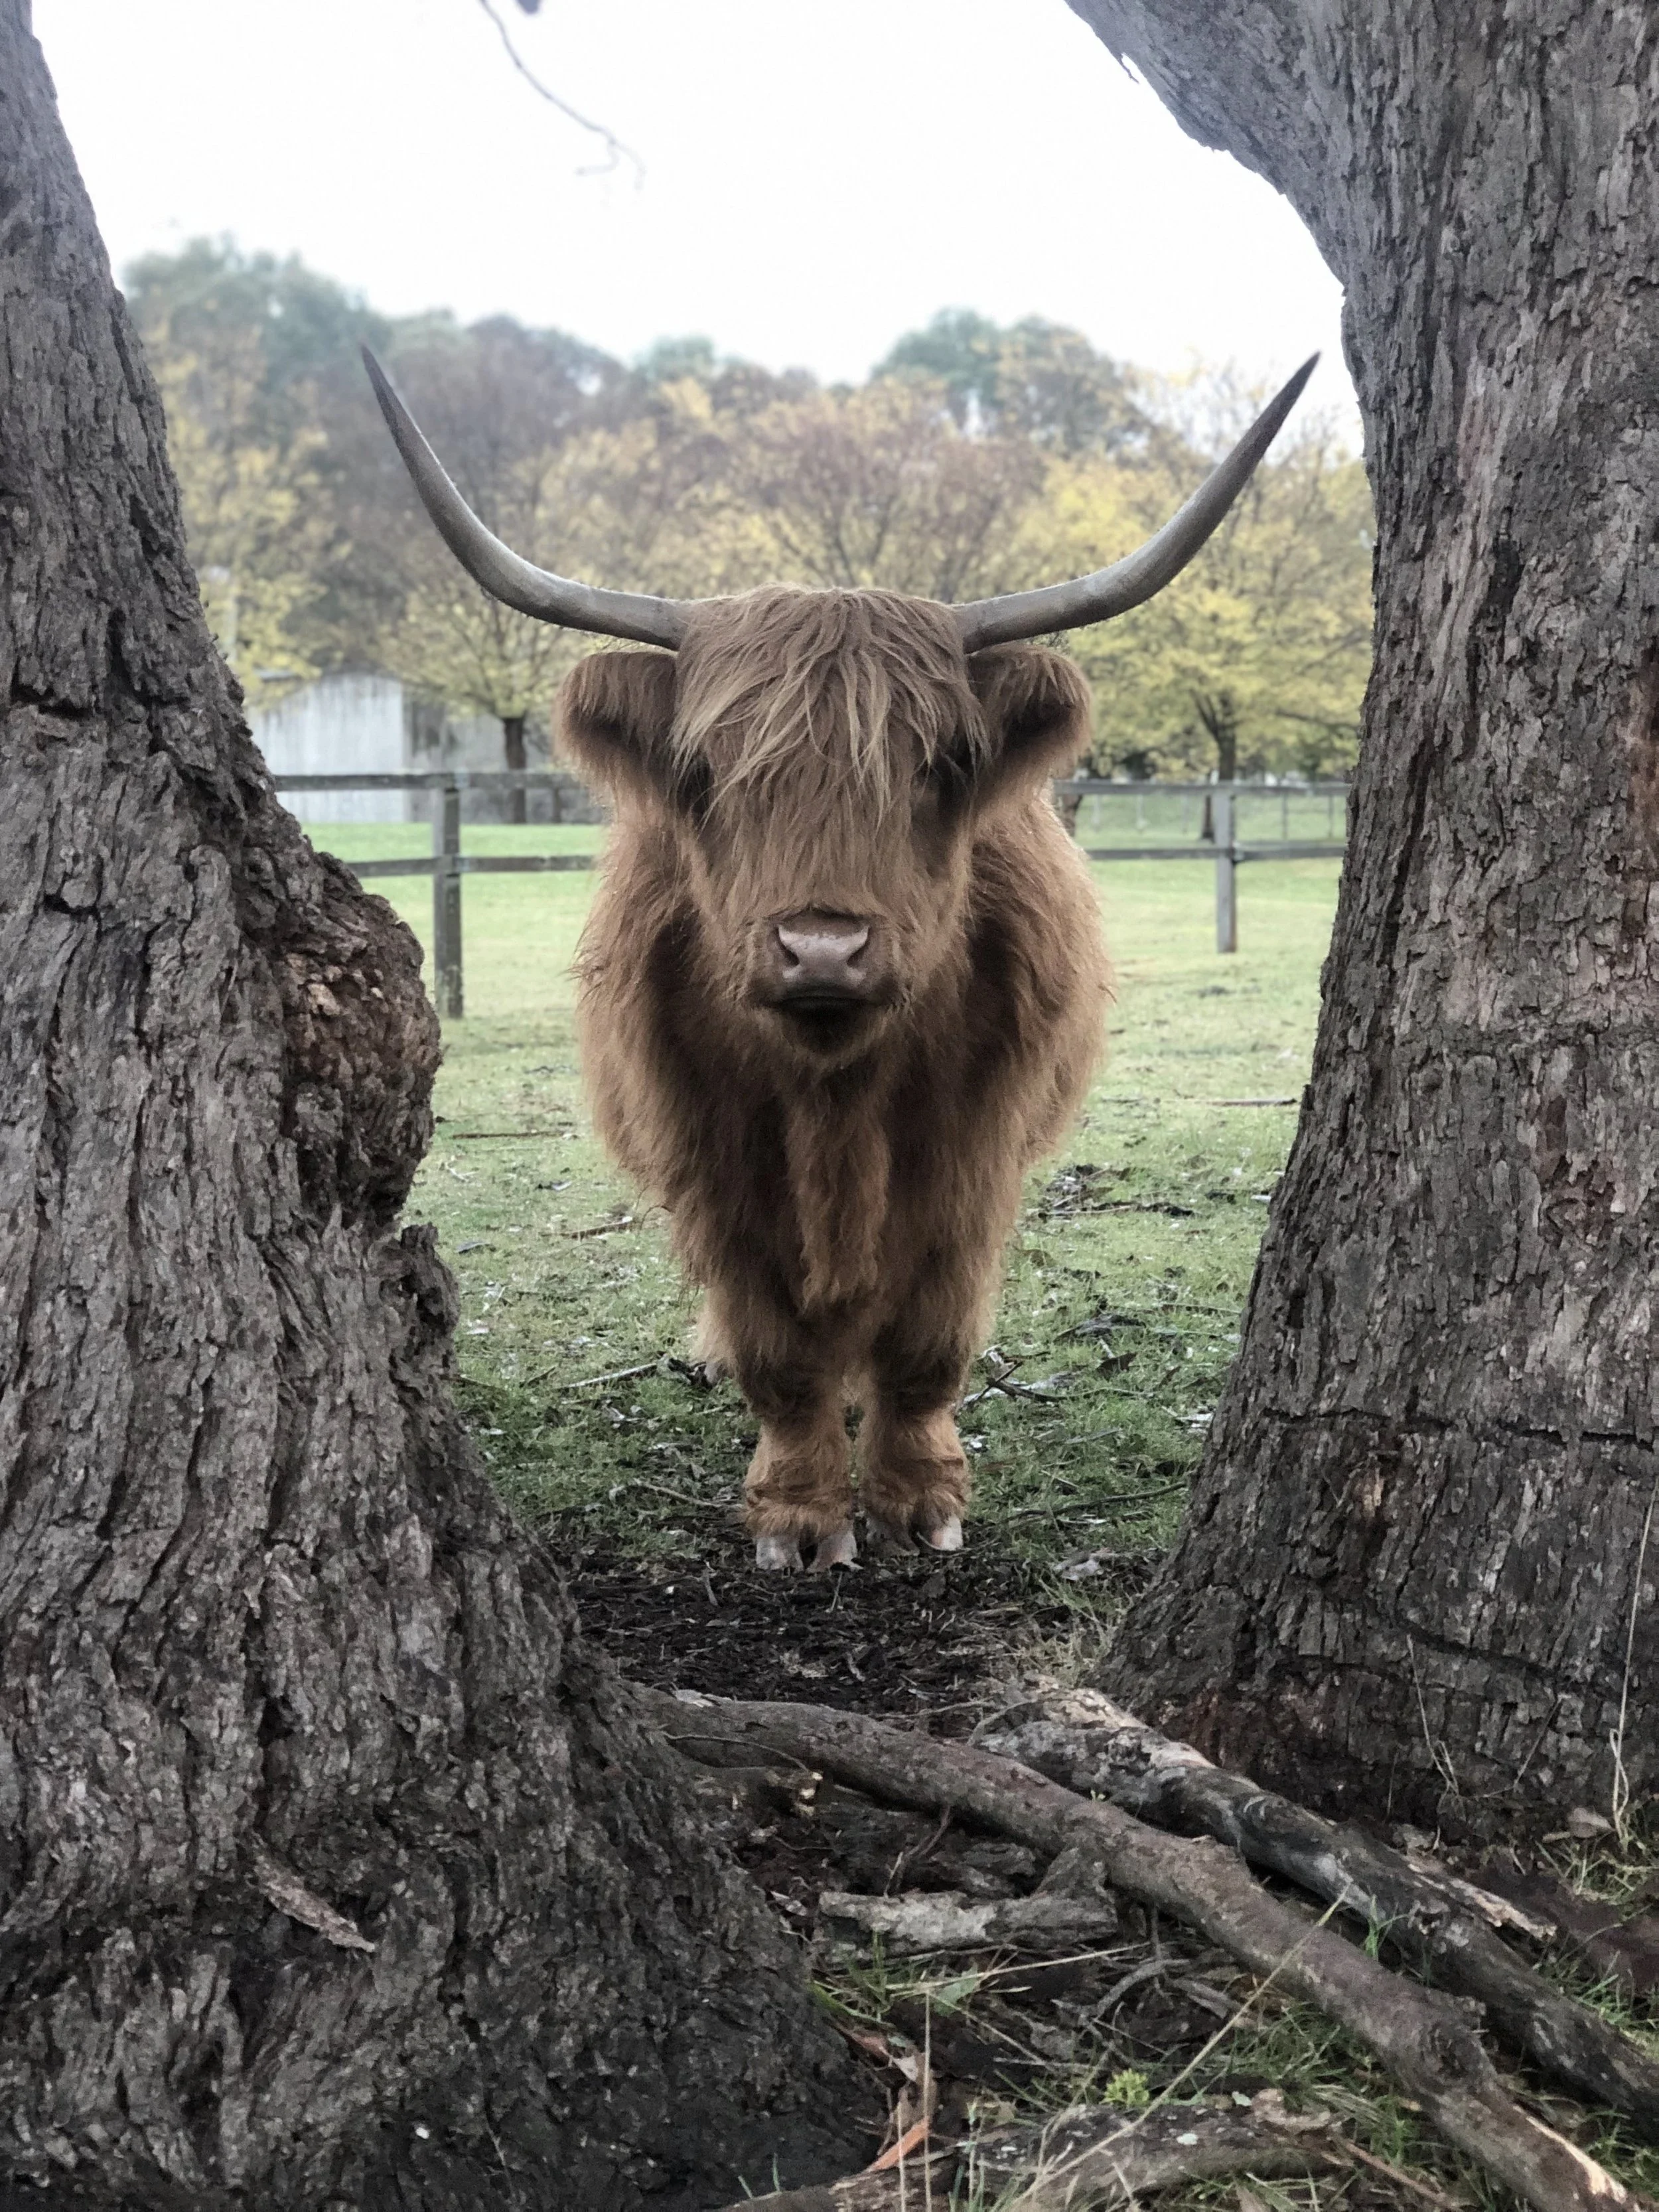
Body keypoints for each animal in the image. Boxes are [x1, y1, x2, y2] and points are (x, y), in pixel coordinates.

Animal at [364, 348, 1315, 1570]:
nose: (822, 945)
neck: (837, 1099)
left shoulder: (974, 1152)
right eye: (705, 772)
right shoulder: (713, 1160)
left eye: (943, 764)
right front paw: (798, 1513)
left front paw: (920, 1499)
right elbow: (778, 1347)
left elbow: (926, 1339)